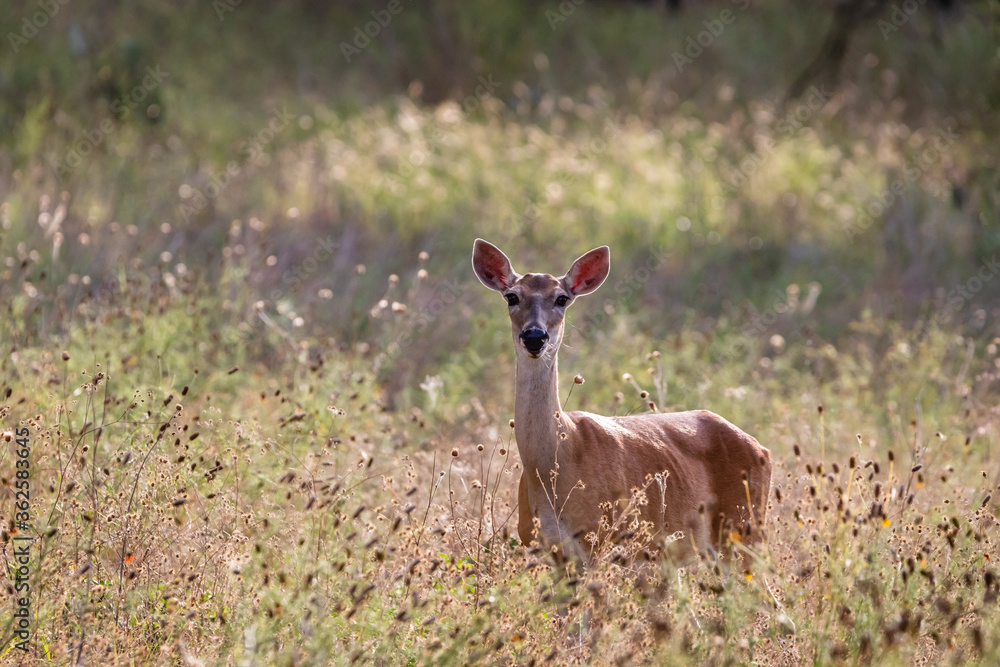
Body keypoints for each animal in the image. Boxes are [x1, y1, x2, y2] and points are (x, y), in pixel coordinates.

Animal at [470, 237, 772, 568]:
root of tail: (761, 448)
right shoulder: (547, 549)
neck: (558, 460)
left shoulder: (599, 540)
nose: (535, 336)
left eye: (562, 298)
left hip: (744, 528)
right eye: (512, 296)